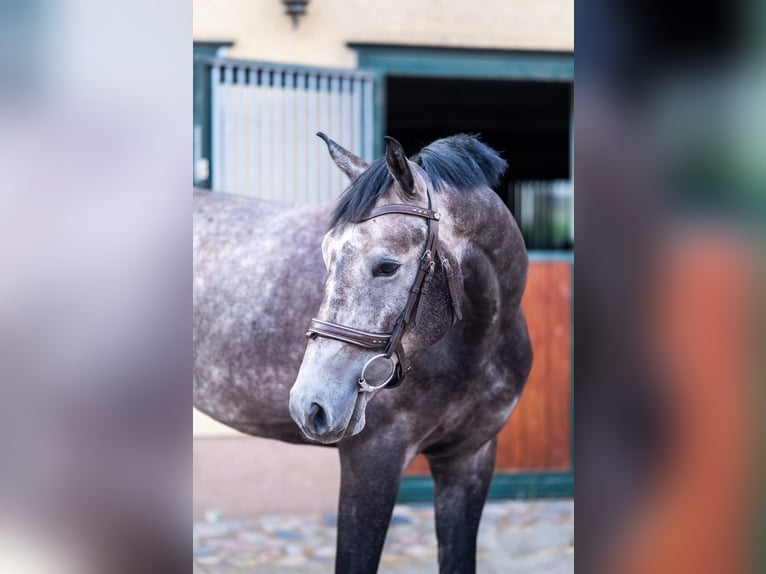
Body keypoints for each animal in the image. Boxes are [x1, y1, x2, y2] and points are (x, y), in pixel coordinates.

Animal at [193, 133, 533, 573]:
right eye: (326, 255)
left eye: (387, 266)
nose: (310, 405)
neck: (477, 346)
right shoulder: (372, 459)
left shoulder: (469, 460)